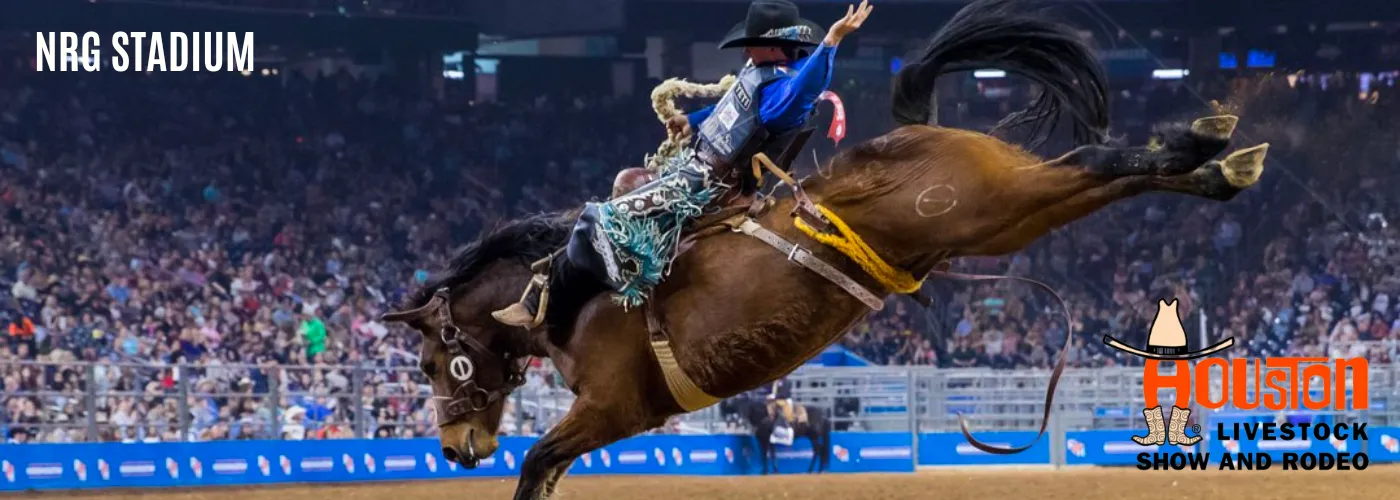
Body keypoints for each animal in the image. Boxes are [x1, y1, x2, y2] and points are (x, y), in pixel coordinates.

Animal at [380, 1, 1271, 495]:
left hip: (999, 204)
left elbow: (537, 465)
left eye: (428, 365)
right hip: (1005, 216)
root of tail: (920, 133)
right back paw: (1217, 161)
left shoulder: (612, 407)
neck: (578, 300)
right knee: (1096, 175)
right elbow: (546, 469)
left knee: (1093, 163)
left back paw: (1207, 144)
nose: (456, 450)